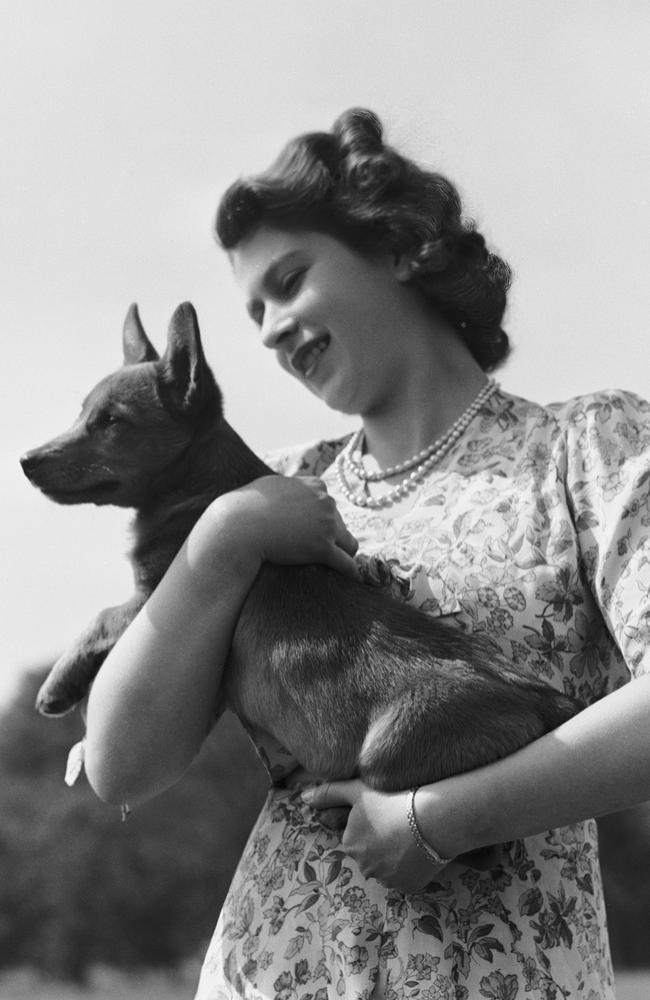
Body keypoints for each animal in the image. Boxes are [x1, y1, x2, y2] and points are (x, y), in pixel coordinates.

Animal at [21, 304, 576, 796]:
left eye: (111, 421)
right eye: (82, 415)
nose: (26, 460)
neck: (199, 488)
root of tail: (549, 703)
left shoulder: (151, 594)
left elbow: (102, 615)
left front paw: (56, 683)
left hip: (392, 751)